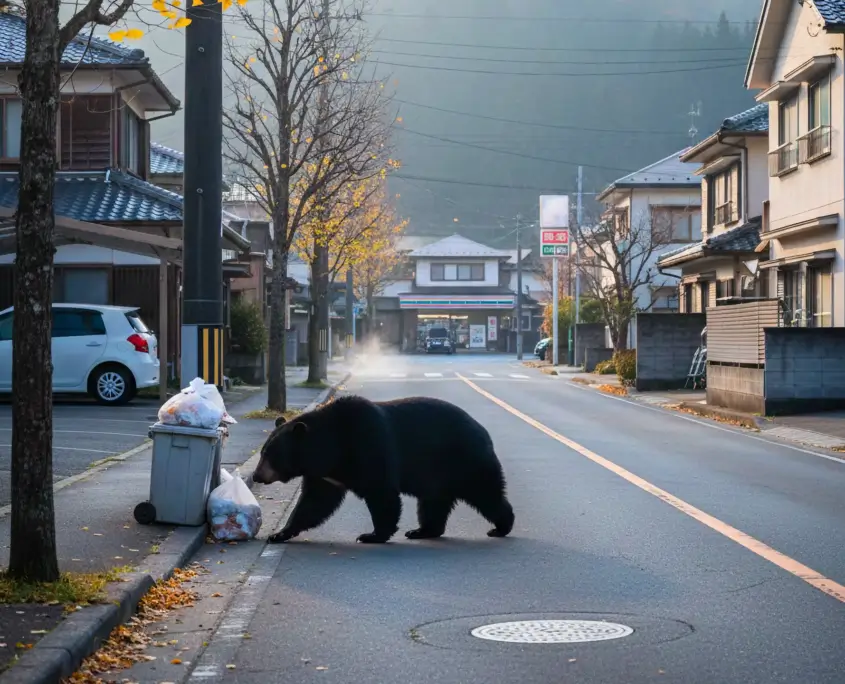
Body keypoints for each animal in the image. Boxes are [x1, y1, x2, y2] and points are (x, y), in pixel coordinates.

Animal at [252, 394, 515, 544]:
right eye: (263, 452)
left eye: (270, 455)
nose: (256, 475)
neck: (332, 446)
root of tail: (483, 430)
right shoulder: (326, 474)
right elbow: (314, 502)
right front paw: (279, 533)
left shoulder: (369, 444)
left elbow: (381, 491)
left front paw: (372, 535)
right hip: (437, 473)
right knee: (433, 502)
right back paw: (422, 530)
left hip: (463, 460)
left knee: (485, 492)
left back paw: (501, 526)